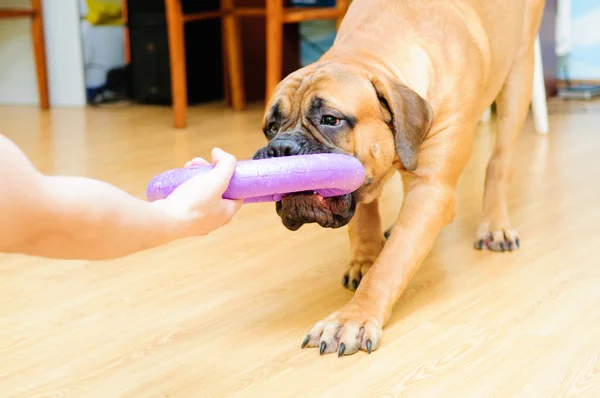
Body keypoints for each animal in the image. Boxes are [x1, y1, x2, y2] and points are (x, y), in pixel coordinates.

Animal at [252, 0, 544, 356]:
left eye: (331, 120)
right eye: (271, 127)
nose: (281, 148)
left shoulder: (430, 189)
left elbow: (391, 264)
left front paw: (353, 318)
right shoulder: (365, 179)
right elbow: (364, 219)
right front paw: (365, 258)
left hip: (519, 74)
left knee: (499, 161)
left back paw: (494, 225)